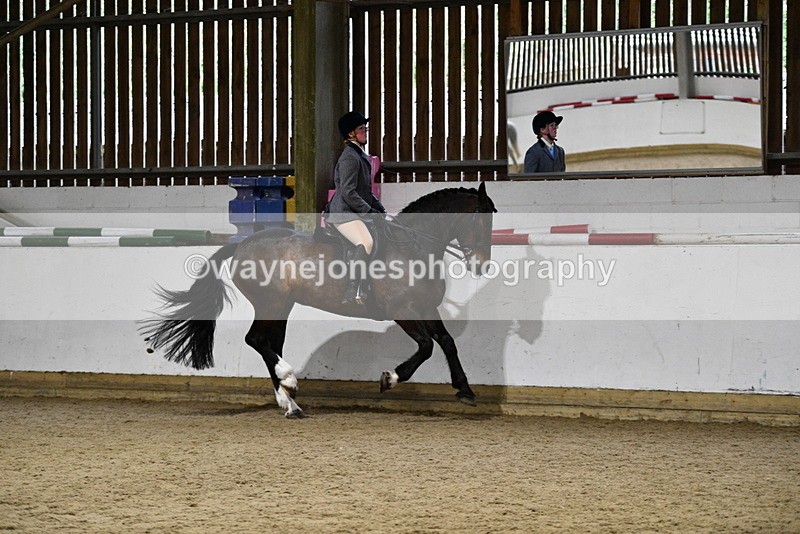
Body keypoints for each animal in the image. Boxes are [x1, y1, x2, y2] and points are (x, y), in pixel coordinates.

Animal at [140, 182, 497, 418]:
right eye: (482, 220)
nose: (481, 265)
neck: (414, 247)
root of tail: (243, 243)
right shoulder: (404, 311)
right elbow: (425, 348)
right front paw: (389, 379)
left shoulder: (426, 307)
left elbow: (447, 342)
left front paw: (465, 391)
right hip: (270, 303)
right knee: (256, 340)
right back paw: (289, 382)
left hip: (281, 307)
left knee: (269, 343)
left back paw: (290, 403)